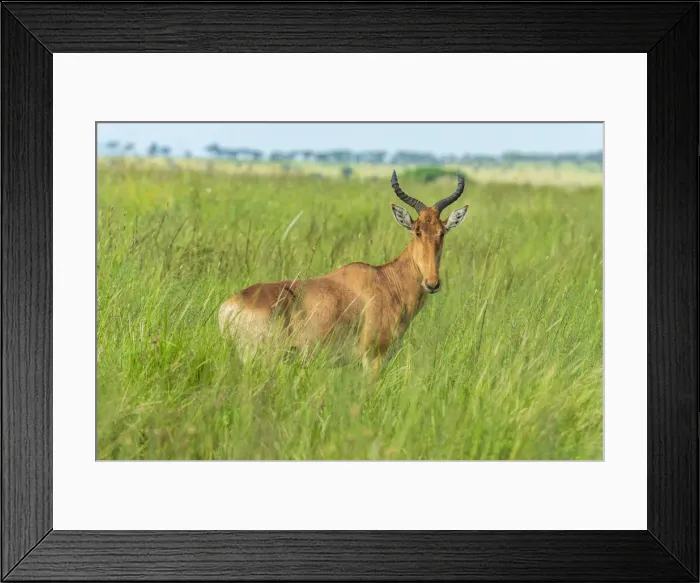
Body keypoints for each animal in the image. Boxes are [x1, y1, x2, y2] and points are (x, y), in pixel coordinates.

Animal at [218, 171, 469, 373]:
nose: (432, 283)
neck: (387, 281)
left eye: (442, 232)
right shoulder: (373, 359)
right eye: (417, 231)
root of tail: (229, 307)